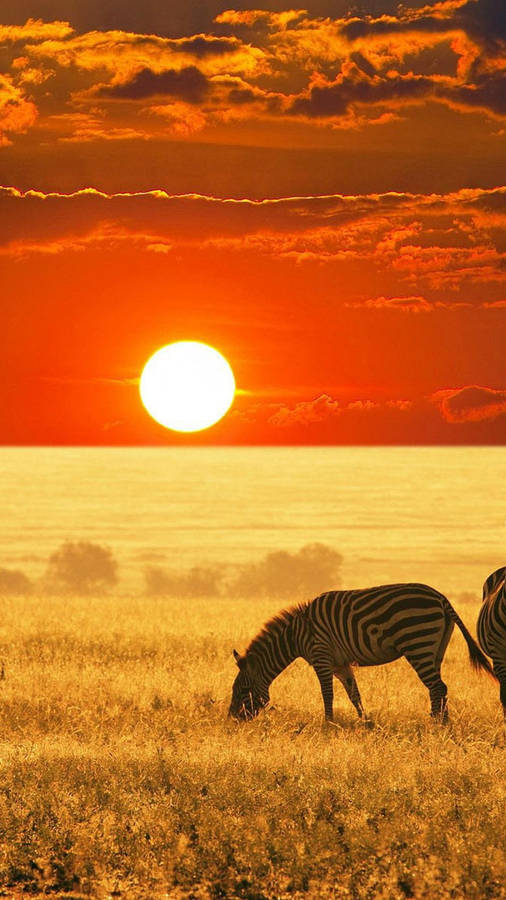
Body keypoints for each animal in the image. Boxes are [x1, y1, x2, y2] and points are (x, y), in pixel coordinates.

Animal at [229, 582, 496, 723]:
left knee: (437, 687)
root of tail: (440, 597)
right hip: (435, 648)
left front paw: (328, 725)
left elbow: (327, 694)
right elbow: (353, 694)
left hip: (418, 642)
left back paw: (436, 724)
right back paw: (442, 723)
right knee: (439, 687)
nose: (231, 719)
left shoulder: (321, 657)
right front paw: (365, 723)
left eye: (242, 690)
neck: (296, 634)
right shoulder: (340, 663)